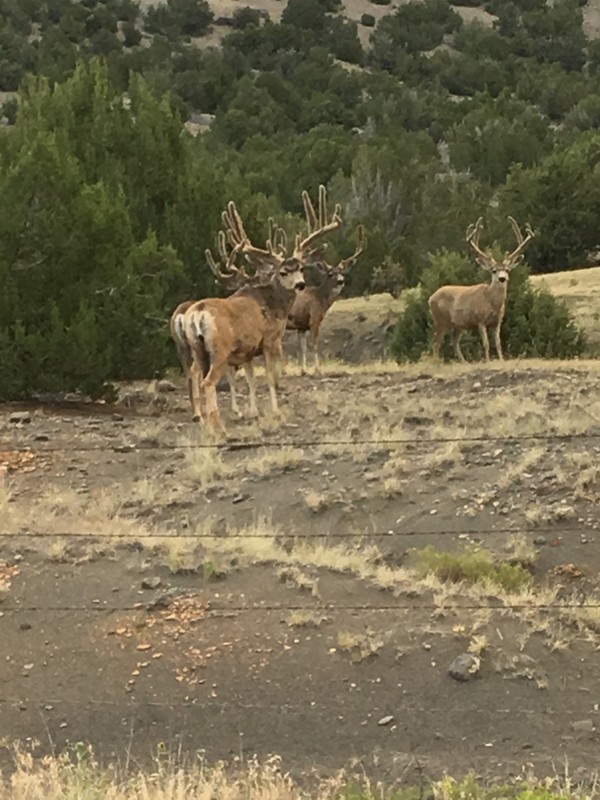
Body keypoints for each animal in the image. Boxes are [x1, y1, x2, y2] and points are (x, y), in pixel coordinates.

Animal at [426, 214, 536, 360]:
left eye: (507, 270)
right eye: (493, 271)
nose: (502, 278)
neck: (491, 303)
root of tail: (431, 297)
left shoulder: (497, 322)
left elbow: (498, 344)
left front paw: (501, 359)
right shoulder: (480, 320)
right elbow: (486, 344)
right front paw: (488, 360)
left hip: (458, 325)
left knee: (454, 342)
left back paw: (464, 362)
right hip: (440, 319)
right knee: (436, 343)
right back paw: (437, 361)